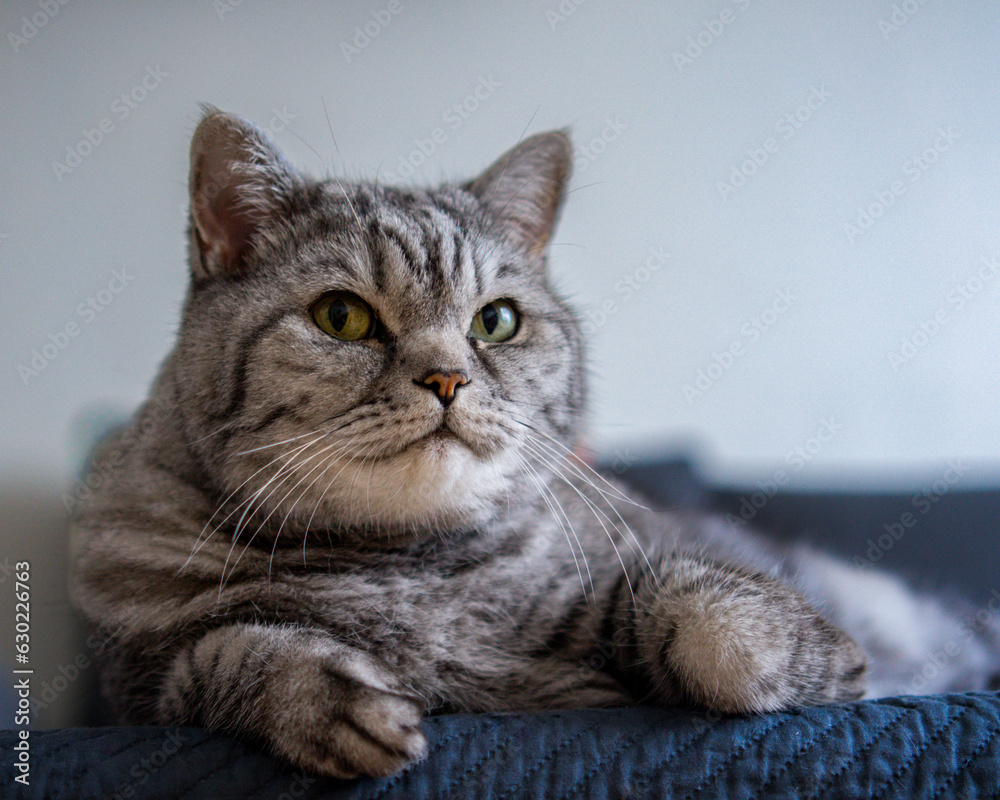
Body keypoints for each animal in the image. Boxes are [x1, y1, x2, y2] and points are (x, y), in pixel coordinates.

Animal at [68, 104, 1000, 776]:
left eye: (497, 321)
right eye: (342, 317)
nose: (447, 379)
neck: (404, 569)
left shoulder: (648, 571)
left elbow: (703, 605)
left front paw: (808, 660)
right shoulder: (136, 689)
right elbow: (229, 651)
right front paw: (326, 698)